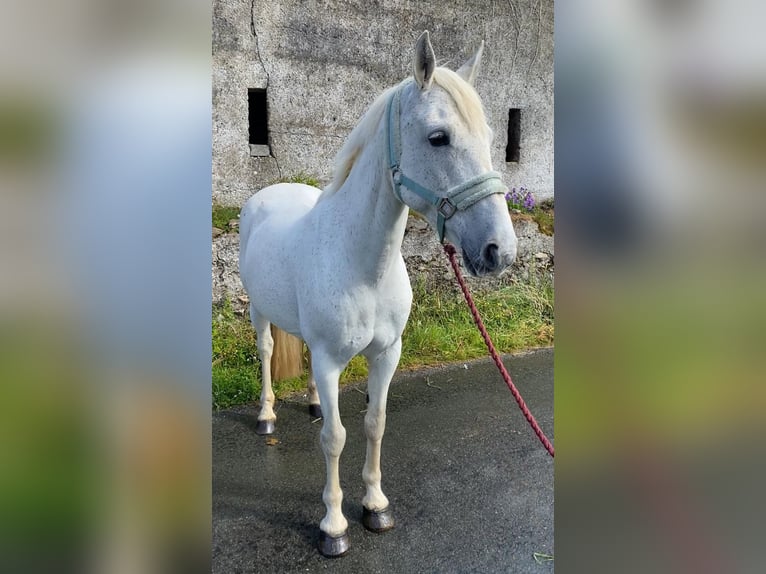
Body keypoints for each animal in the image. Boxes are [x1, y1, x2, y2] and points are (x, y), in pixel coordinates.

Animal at [238, 31, 516, 560]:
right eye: (437, 137)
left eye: (493, 139)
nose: (499, 250)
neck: (364, 265)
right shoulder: (332, 361)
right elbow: (335, 438)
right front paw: (333, 526)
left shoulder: (388, 353)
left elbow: (374, 423)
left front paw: (374, 504)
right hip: (259, 310)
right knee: (264, 351)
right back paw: (266, 415)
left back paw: (311, 403)